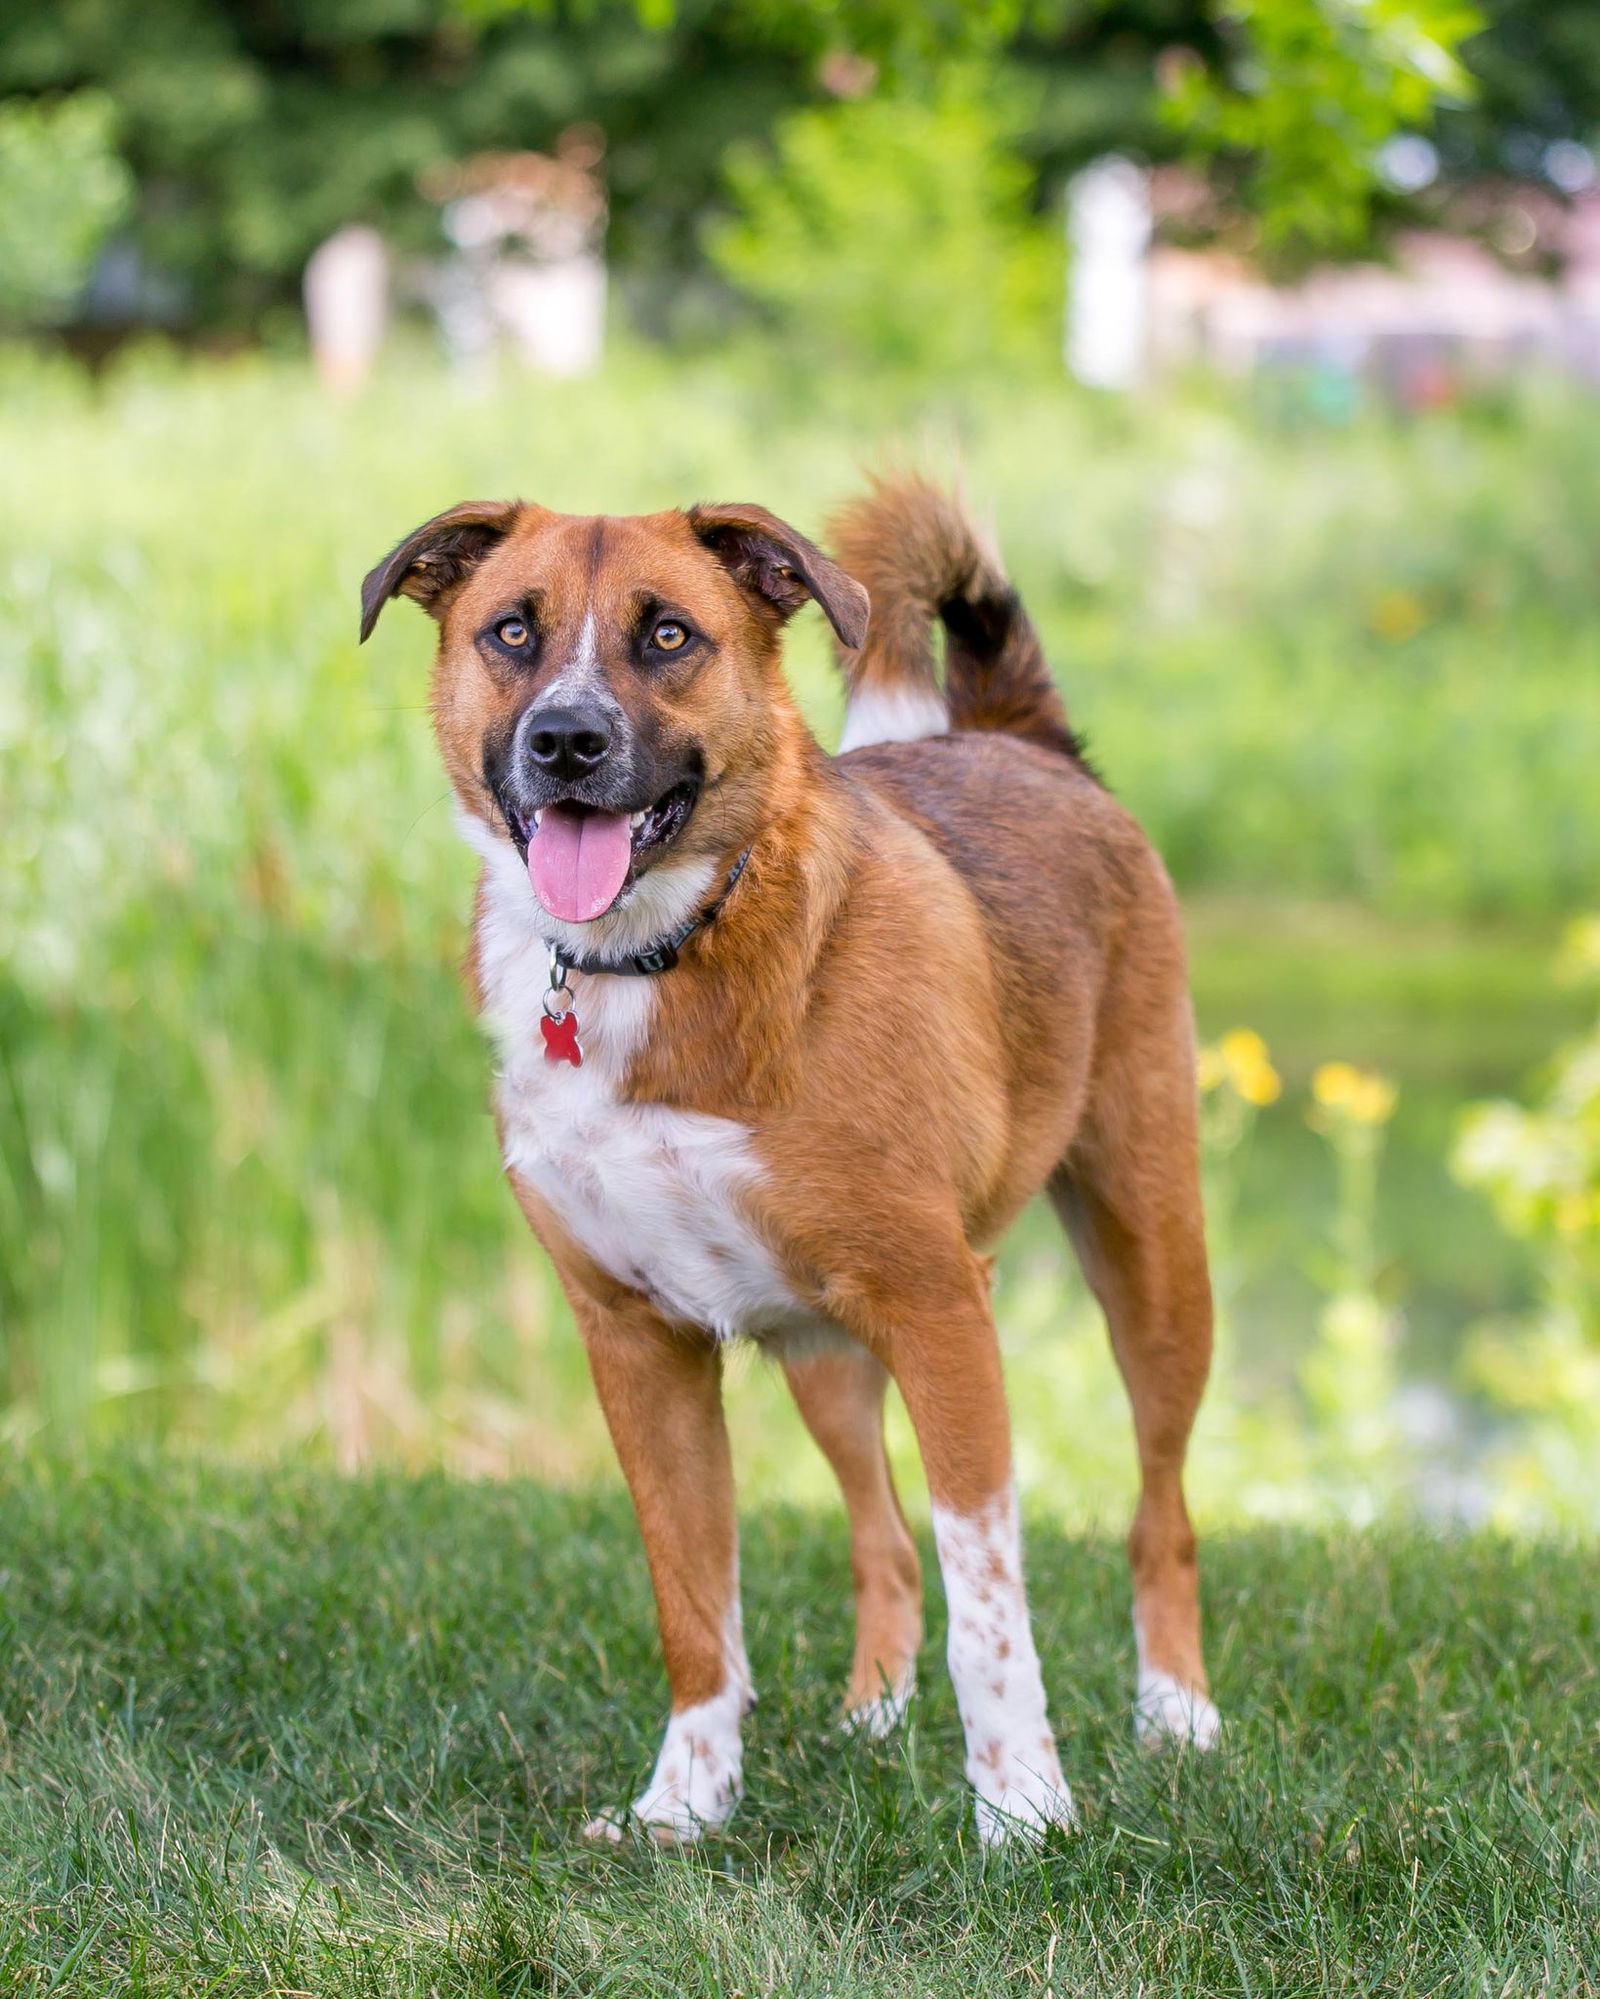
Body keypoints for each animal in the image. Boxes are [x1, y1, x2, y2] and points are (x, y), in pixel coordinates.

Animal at [360, 475, 1216, 1847]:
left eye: (668, 634)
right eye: (511, 631)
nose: (566, 742)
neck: (659, 957)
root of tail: (1023, 739)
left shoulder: (941, 1310)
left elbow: (992, 1606)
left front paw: (1023, 1811)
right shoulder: (636, 1344)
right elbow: (693, 1603)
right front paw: (684, 1805)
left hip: (1150, 1259)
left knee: (1160, 1510)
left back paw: (1176, 1712)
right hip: (823, 1350)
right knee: (883, 1539)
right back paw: (870, 1717)